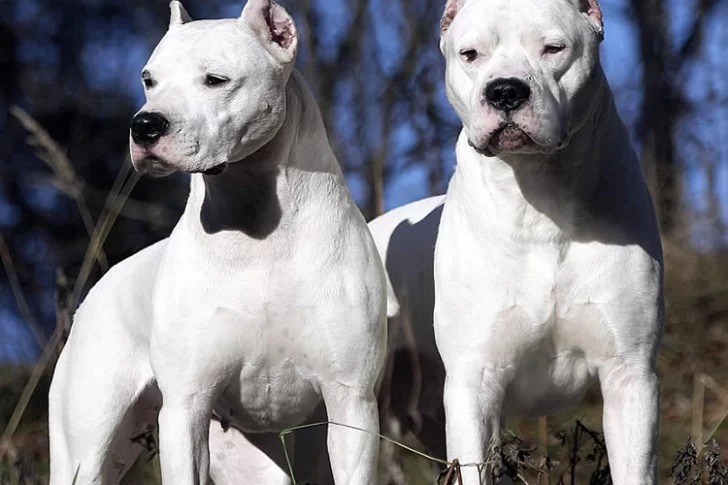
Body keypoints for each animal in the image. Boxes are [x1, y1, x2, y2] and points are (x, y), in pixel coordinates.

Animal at [48, 1, 390, 482]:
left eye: (215, 79)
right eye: (148, 80)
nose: (144, 125)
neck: (257, 229)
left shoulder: (351, 402)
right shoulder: (186, 406)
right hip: (86, 449)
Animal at [370, 0, 664, 484]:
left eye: (553, 48)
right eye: (470, 54)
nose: (505, 91)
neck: (540, 204)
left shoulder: (630, 375)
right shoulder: (474, 383)